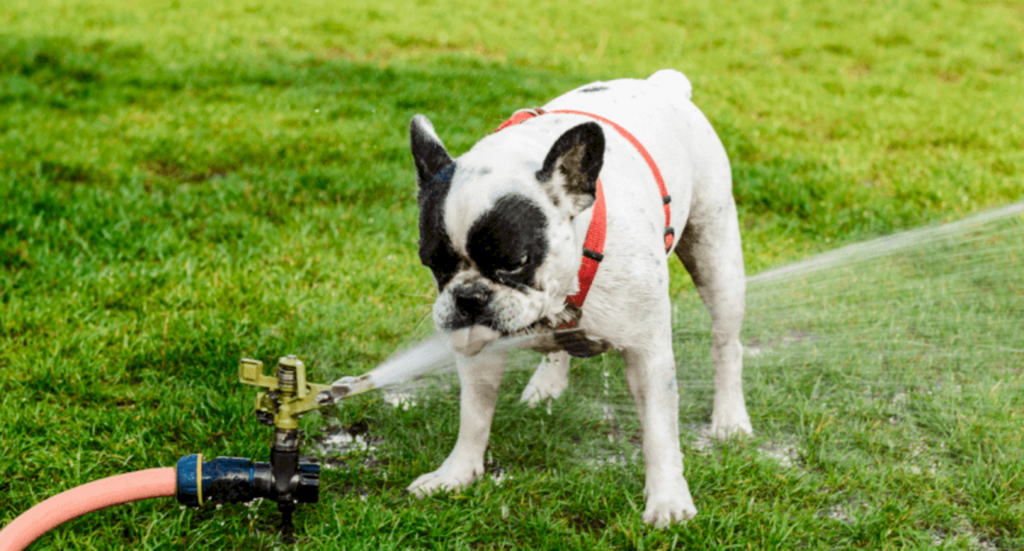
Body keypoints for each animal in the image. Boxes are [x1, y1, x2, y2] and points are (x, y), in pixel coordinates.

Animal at [407, 68, 753, 522]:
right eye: (432, 262)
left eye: (516, 262)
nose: (468, 298)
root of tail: (662, 83)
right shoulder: (478, 350)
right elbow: (475, 416)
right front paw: (457, 473)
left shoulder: (648, 354)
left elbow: (660, 431)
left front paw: (668, 500)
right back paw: (547, 383)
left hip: (716, 256)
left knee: (726, 343)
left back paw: (729, 419)